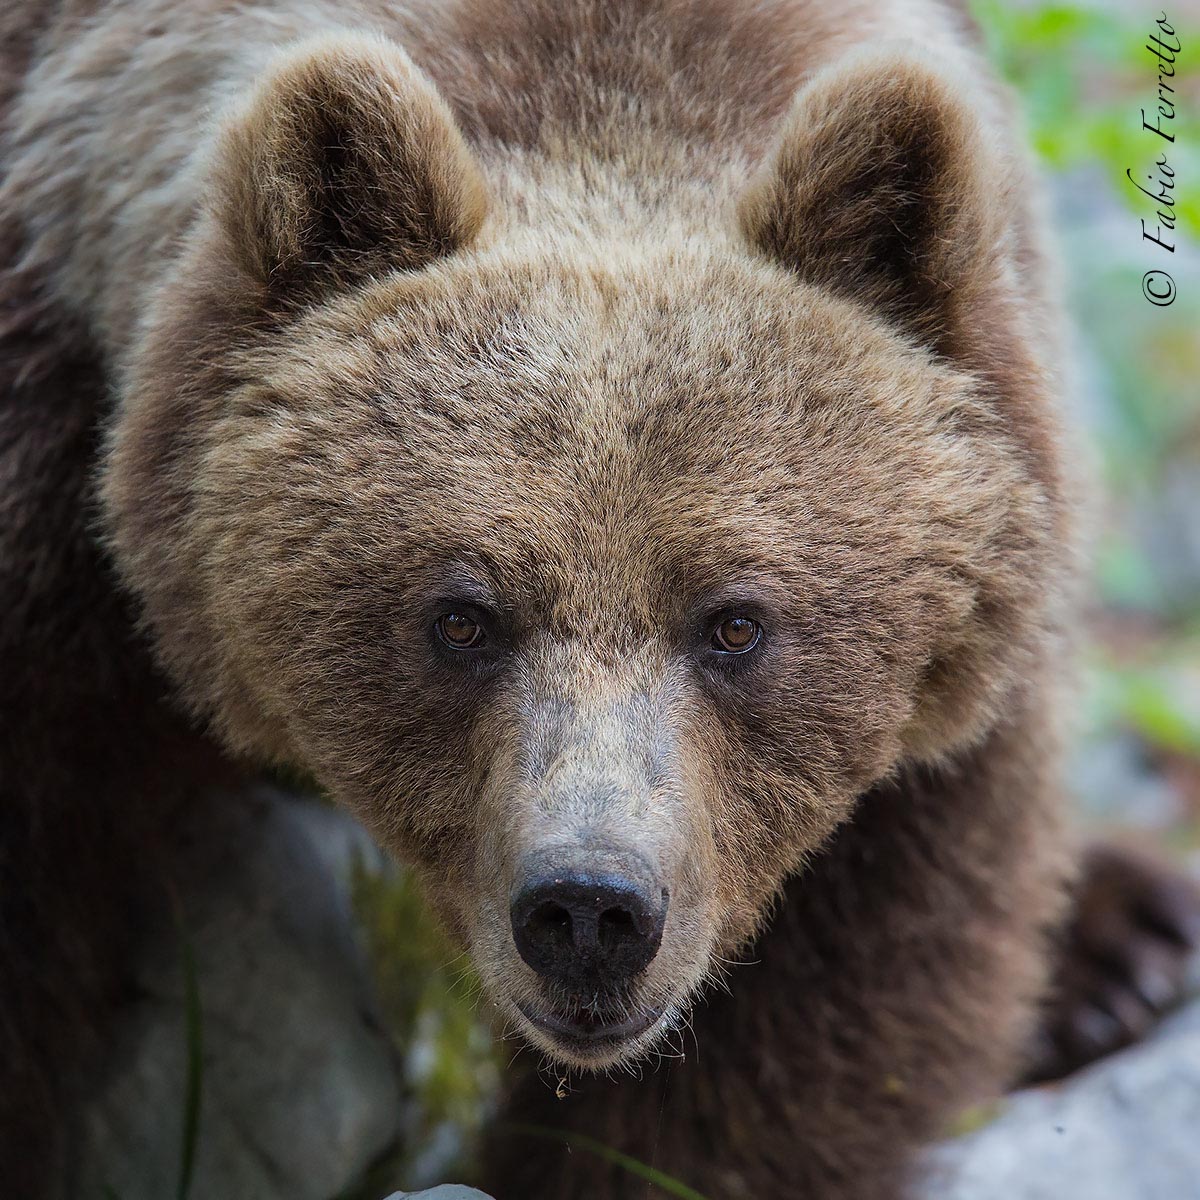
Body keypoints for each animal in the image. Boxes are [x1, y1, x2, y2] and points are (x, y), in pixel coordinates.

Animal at [2, 1, 1198, 1198]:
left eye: (735, 622)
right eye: (460, 616)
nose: (589, 910)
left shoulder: (945, 708)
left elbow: (826, 1015)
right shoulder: (44, 464)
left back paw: (1131, 949)